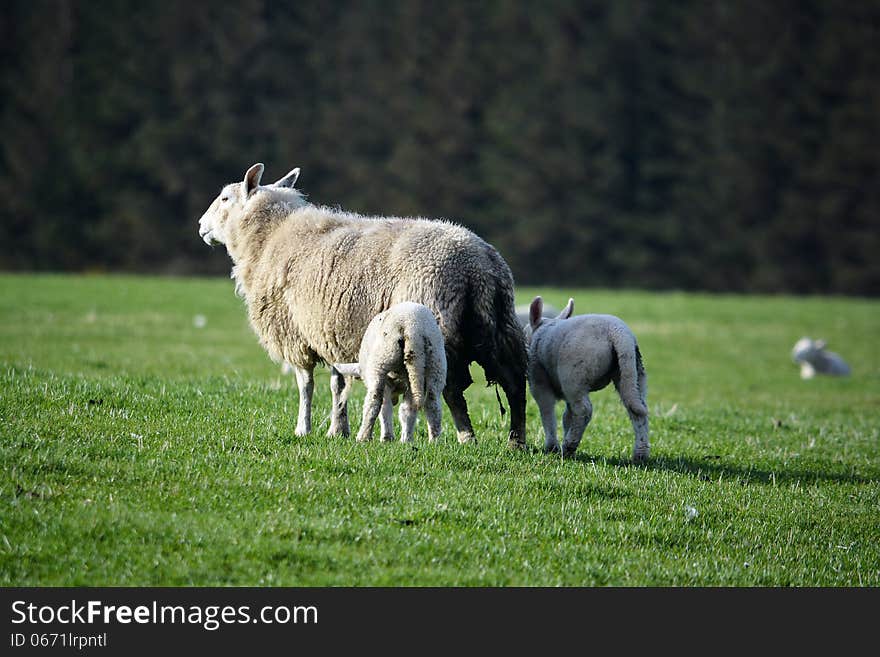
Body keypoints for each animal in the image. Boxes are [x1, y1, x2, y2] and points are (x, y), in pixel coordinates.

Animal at [332, 302, 446, 444]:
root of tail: (412, 326)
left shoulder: (387, 381)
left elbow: (385, 408)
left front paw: (387, 438)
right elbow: (405, 410)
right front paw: (405, 439)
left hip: (382, 358)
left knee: (374, 400)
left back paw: (363, 437)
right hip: (435, 362)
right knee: (431, 402)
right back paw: (433, 440)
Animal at [524, 296, 648, 462]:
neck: (541, 329)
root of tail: (618, 332)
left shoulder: (539, 382)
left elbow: (547, 412)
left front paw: (552, 447)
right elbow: (567, 416)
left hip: (573, 377)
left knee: (584, 410)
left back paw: (569, 446)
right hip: (632, 372)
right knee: (637, 410)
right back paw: (640, 454)